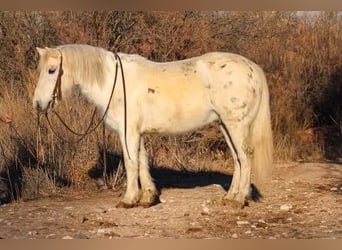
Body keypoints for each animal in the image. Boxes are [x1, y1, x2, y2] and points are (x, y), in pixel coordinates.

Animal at [32, 44, 272, 208]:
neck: (114, 84)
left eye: (52, 70)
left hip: (236, 125)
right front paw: (147, 197)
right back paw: (230, 197)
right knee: (238, 159)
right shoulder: (136, 133)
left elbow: (131, 163)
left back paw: (239, 199)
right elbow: (142, 161)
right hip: (225, 125)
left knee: (245, 157)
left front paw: (128, 199)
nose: (37, 104)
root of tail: (252, 67)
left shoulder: (127, 133)